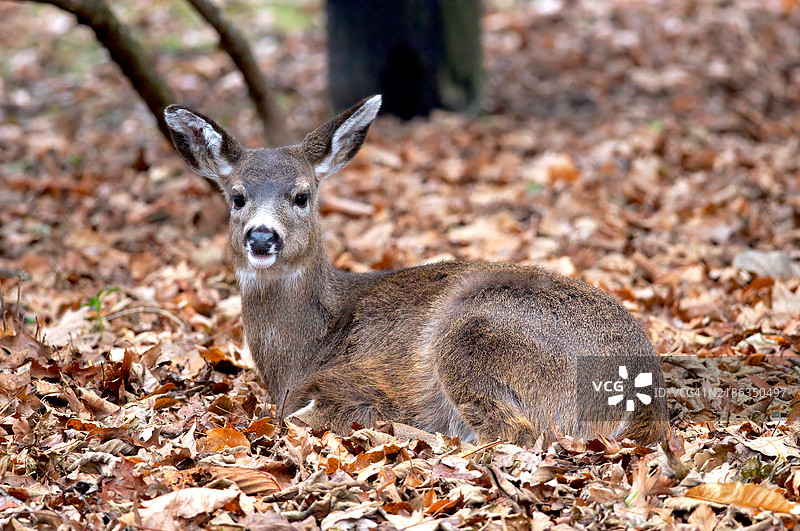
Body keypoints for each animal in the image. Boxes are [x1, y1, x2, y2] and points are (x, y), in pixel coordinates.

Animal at [163, 96, 668, 447]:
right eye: (237, 197)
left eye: (302, 195)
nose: (262, 237)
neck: (300, 354)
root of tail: (646, 390)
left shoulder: (351, 385)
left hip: (476, 333)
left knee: (517, 432)